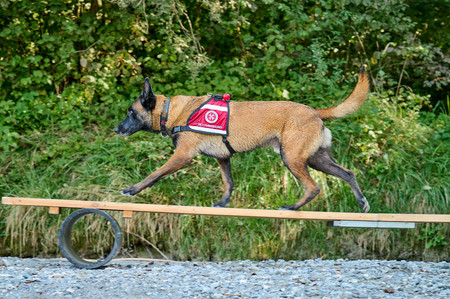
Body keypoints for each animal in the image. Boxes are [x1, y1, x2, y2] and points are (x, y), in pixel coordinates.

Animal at [115, 68, 370, 213]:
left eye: (130, 112)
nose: (117, 129)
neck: (171, 111)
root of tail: (315, 112)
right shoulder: (223, 158)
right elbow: (228, 183)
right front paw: (223, 203)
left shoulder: (182, 156)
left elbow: (154, 174)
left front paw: (133, 190)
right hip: (317, 159)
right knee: (348, 173)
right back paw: (362, 202)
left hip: (292, 158)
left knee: (313, 187)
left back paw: (292, 207)